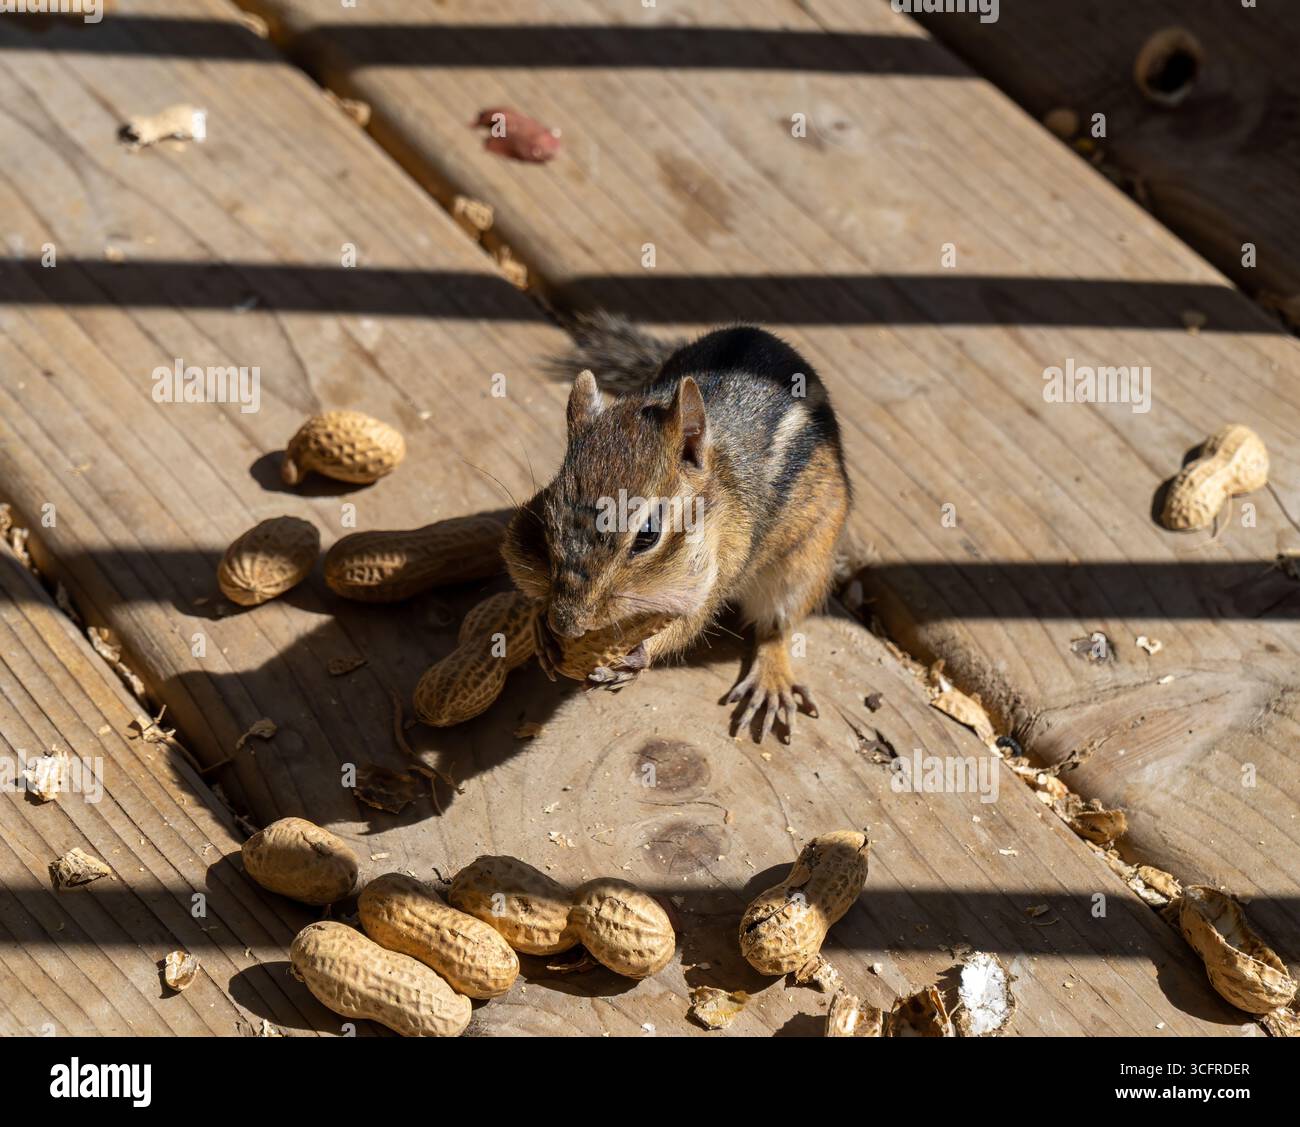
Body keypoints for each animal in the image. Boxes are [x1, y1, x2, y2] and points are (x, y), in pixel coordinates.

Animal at [501, 313, 851, 744]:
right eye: (549, 511)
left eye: (648, 534)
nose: (567, 623)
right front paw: (540, 624)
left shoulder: (722, 565)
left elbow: (691, 623)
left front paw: (638, 656)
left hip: (805, 562)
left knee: (777, 627)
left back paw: (771, 678)